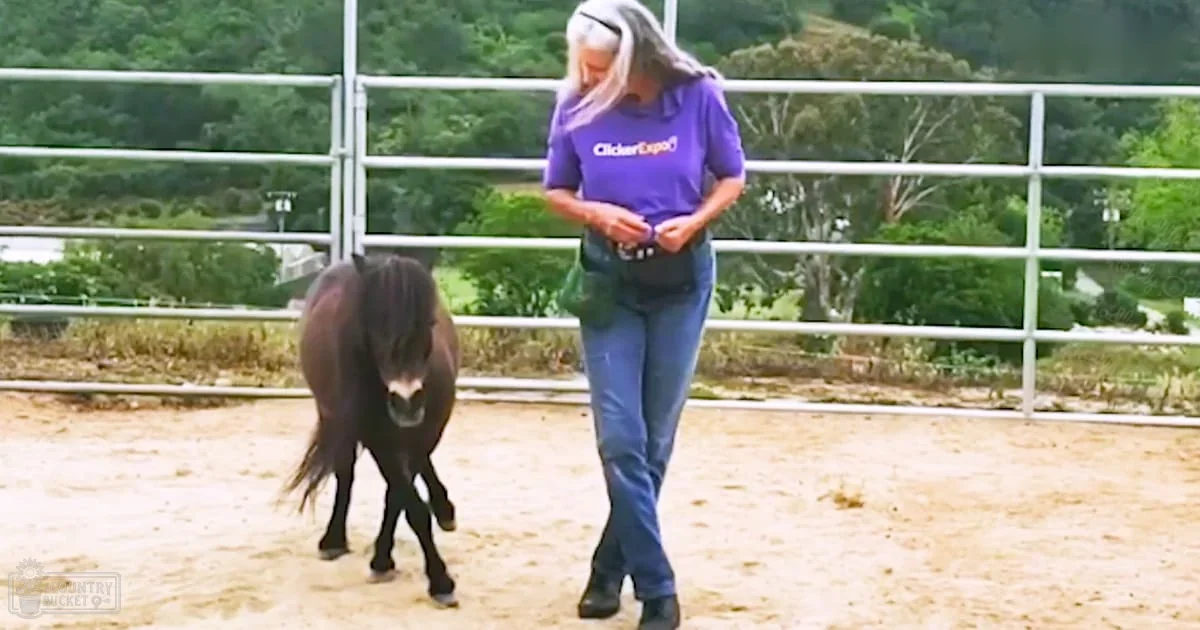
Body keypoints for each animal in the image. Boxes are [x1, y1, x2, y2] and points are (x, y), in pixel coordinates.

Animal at [283, 252, 461, 608]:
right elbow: (410, 505)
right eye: (374, 326)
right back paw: (334, 539)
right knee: (345, 473)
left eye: (429, 323)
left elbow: (399, 497)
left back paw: (444, 509)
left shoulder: (427, 432)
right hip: (335, 417)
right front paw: (439, 580)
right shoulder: (377, 440)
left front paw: (383, 558)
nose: (406, 402)